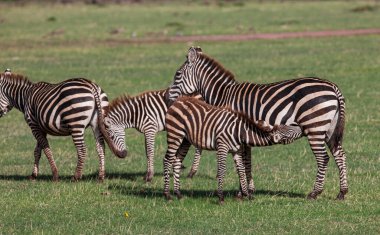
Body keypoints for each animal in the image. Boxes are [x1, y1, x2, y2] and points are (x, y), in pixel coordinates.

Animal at [163, 96, 302, 203]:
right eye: (289, 131)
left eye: (287, 127)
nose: (300, 126)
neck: (240, 131)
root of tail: (178, 100)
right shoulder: (222, 146)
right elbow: (222, 170)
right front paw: (221, 197)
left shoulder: (236, 150)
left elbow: (241, 170)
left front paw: (246, 195)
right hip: (175, 134)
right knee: (167, 160)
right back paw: (167, 195)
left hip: (185, 140)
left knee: (177, 161)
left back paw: (178, 194)